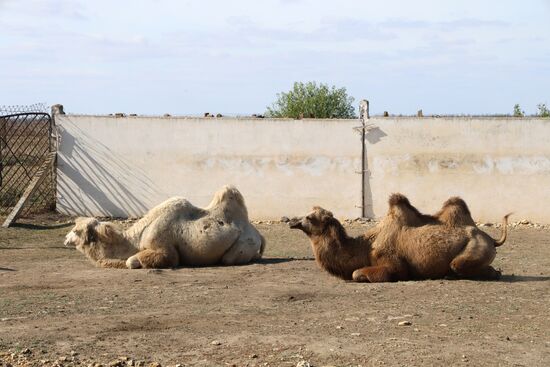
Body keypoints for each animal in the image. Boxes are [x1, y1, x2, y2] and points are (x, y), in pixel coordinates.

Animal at [64, 187, 268, 270]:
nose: (65, 239)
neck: (136, 238)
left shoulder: (165, 249)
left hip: (242, 245)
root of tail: (259, 235)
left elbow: (132, 261)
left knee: (229, 259)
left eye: (76, 231)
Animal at [292, 196, 512, 282]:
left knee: (461, 265)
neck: (365, 246)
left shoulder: (393, 263)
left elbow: (357, 273)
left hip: (473, 249)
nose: (292, 221)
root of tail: (492, 239)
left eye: (310, 217)